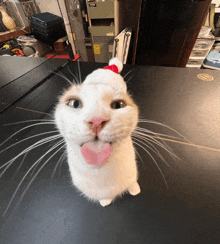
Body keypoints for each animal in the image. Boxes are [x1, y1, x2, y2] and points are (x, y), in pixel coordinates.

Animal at [55, 57, 141, 206]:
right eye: (74, 103)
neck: (99, 172)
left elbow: (132, 183)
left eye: (118, 105)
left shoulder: (131, 175)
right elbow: (106, 198)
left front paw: (135, 191)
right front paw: (105, 201)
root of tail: (109, 68)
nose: (96, 120)